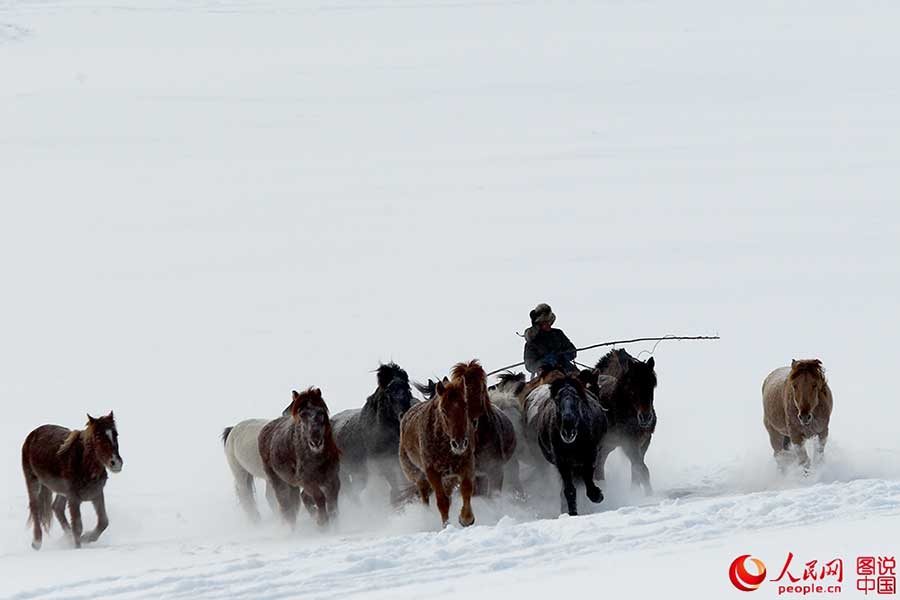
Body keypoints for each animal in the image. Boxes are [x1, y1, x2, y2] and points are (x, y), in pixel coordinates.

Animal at [21, 412, 123, 548]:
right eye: (98, 436)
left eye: (115, 434)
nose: (116, 463)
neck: (84, 464)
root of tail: (32, 434)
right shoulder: (74, 498)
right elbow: (78, 527)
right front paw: (78, 547)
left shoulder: (96, 494)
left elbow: (103, 522)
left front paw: (87, 538)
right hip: (32, 480)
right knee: (35, 506)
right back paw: (37, 542)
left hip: (60, 490)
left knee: (57, 508)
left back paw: (68, 537)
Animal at [264, 390, 344, 524]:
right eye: (302, 415)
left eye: (321, 412)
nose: (316, 441)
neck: (317, 458)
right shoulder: (308, 482)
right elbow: (320, 498)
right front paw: (322, 521)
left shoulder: (332, 478)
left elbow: (332, 504)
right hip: (279, 483)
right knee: (287, 508)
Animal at [398, 378, 474, 528]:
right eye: (444, 410)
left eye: (465, 406)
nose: (459, 443)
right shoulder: (432, 472)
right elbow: (442, 501)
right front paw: (446, 526)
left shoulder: (465, 465)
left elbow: (466, 489)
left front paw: (466, 518)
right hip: (418, 475)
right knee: (424, 496)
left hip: (448, 478)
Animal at [524, 372, 608, 512]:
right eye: (557, 400)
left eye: (577, 398)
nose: (568, 429)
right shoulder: (561, 461)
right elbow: (569, 490)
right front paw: (572, 512)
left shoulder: (590, 454)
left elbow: (588, 480)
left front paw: (597, 495)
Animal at [588, 350, 656, 494]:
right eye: (632, 387)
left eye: (652, 385)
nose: (646, 417)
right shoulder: (628, 443)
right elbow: (642, 470)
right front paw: (650, 495)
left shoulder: (643, 442)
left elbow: (637, 470)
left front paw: (635, 492)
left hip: (607, 445)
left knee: (600, 464)